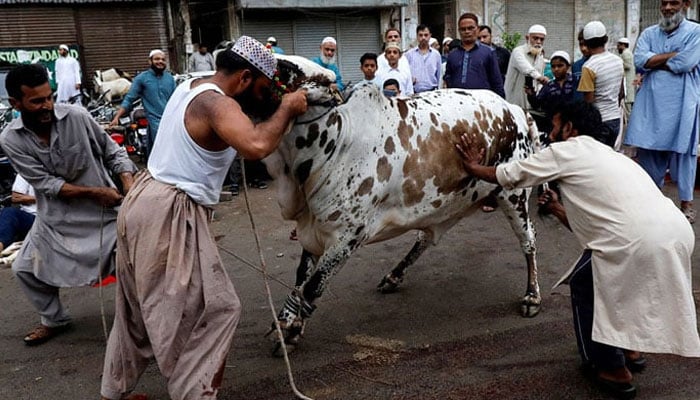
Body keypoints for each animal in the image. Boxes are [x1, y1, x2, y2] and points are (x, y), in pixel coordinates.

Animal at [262, 73, 540, 352]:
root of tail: (514, 110)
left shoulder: (347, 236)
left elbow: (312, 286)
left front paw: (292, 331)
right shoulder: (315, 230)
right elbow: (301, 277)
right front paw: (285, 322)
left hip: (513, 193)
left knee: (528, 241)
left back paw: (532, 296)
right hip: (451, 201)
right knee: (425, 238)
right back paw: (394, 276)